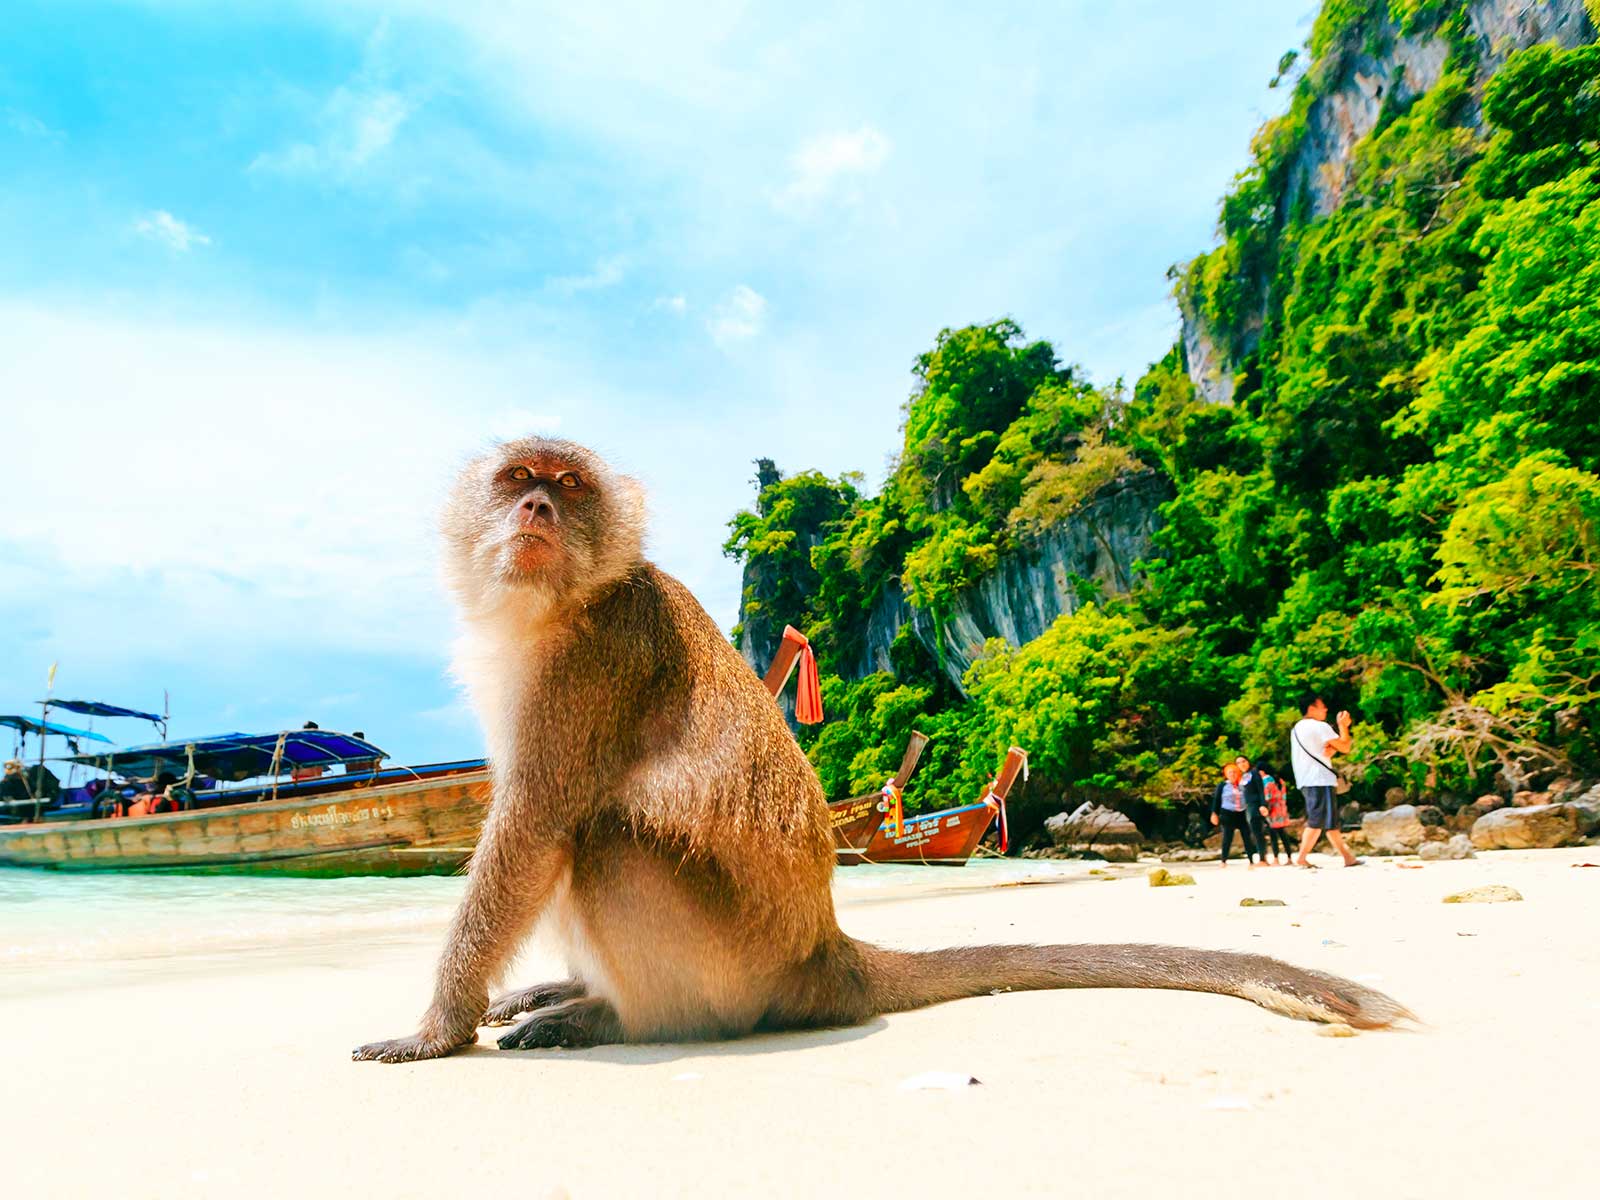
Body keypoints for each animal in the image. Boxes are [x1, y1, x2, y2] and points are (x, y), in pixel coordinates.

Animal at [353, 437, 1409, 1064]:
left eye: (567, 487)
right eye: (515, 482)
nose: (536, 511)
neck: (559, 604)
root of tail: (828, 954)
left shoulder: (592, 662)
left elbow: (532, 829)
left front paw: (434, 1031)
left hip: (731, 966)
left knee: (601, 835)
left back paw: (615, 1017)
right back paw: (574, 992)